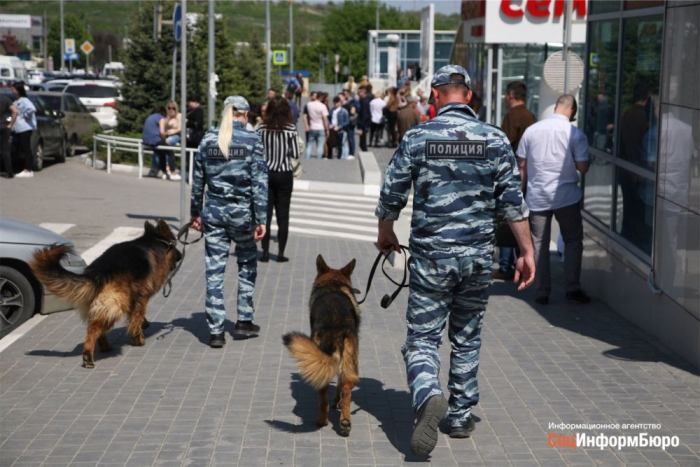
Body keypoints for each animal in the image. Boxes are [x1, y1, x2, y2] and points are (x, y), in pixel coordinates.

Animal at [30, 219, 183, 370]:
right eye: (175, 244)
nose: (181, 256)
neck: (152, 241)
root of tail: (98, 272)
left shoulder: (135, 298)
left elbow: (135, 317)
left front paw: (143, 325)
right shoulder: (142, 297)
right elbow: (136, 318)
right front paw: (138, 338)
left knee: (97, 327)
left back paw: (104, 346)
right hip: (116, 305)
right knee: (93, 329)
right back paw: (88, 356)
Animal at [284, 254, 360, 436]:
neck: (333, 284)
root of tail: (336, 327)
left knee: (326, 392)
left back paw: (325, 420)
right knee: (344, 389)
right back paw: (342, 421)